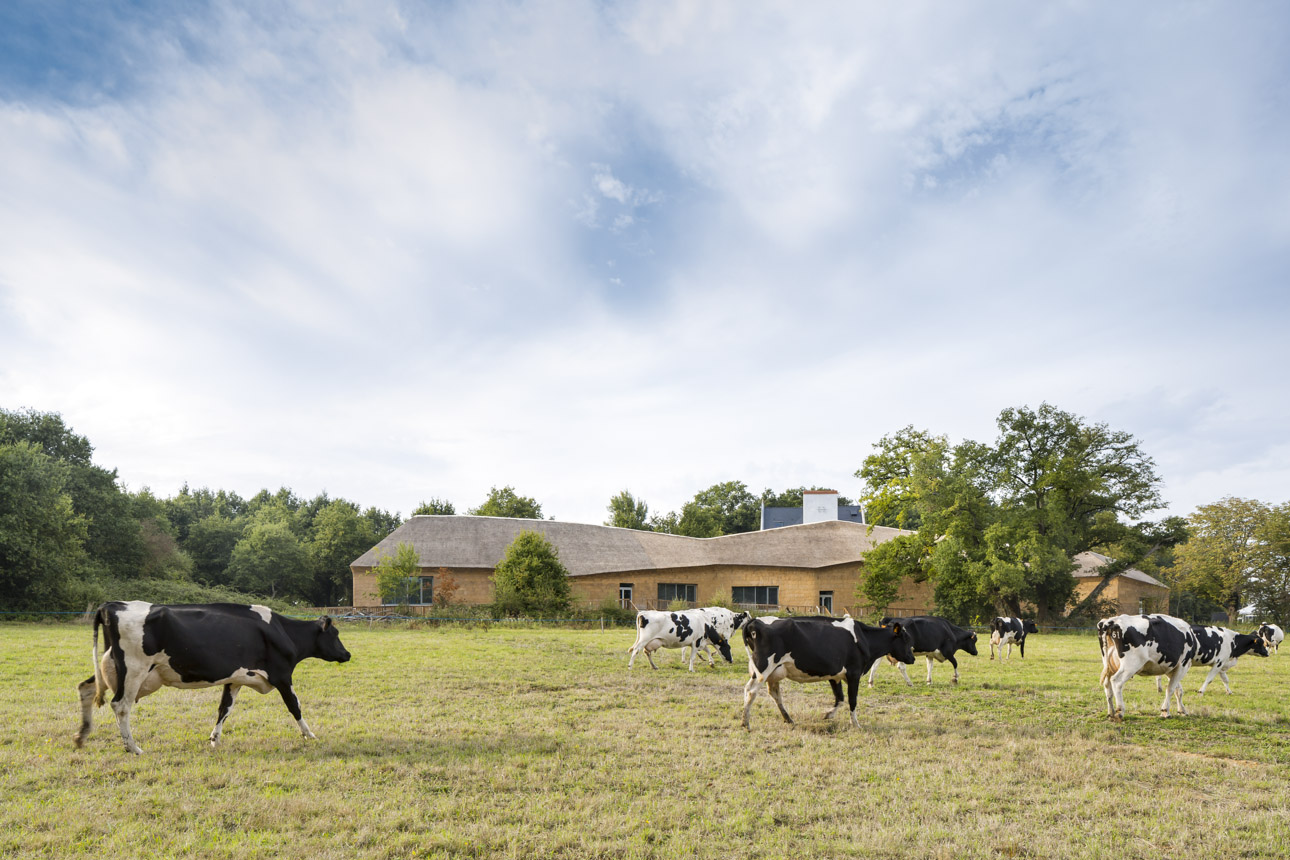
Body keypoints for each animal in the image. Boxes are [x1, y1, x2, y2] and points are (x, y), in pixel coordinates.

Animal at [73, 603, 350, 758]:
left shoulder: (236, 678)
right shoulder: (282, 675)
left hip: (111, 668)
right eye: (335, 634)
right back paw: (133, 748)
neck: (283, 631)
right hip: (133, 670)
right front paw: (309, 734)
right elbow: (295, 706)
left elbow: (224, 709)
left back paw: (81, 736)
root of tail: (111, 605)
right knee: (121, 706)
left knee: (86, 688)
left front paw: (214, 739)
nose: (347, 654)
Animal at [737, 616, 918, 732]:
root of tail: (755, 621)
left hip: (771, 672)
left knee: (772, 693)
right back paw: (746, 723)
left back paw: (787, 719)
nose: (913, 658)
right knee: (751, 691)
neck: (863, 637)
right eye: (906, 640)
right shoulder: (854, 673)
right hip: (764, 668)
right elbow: (852, 700)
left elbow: (840, 698)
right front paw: (855, 724)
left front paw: (828, 715)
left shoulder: (834, 675)